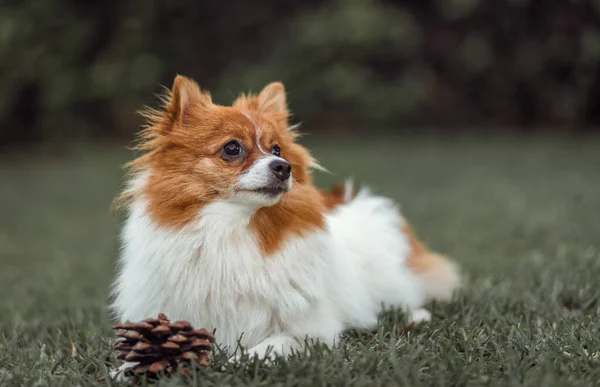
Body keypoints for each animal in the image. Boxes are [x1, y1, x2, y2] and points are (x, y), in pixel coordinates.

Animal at [112, 75, 460, 364]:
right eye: (232, 148)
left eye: (277, 149)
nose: (283, 167)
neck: (232, 226)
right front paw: (127, 369)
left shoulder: (309, 331)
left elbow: (267, 346)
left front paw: (232, 363)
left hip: (388, 276)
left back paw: (416, 315)